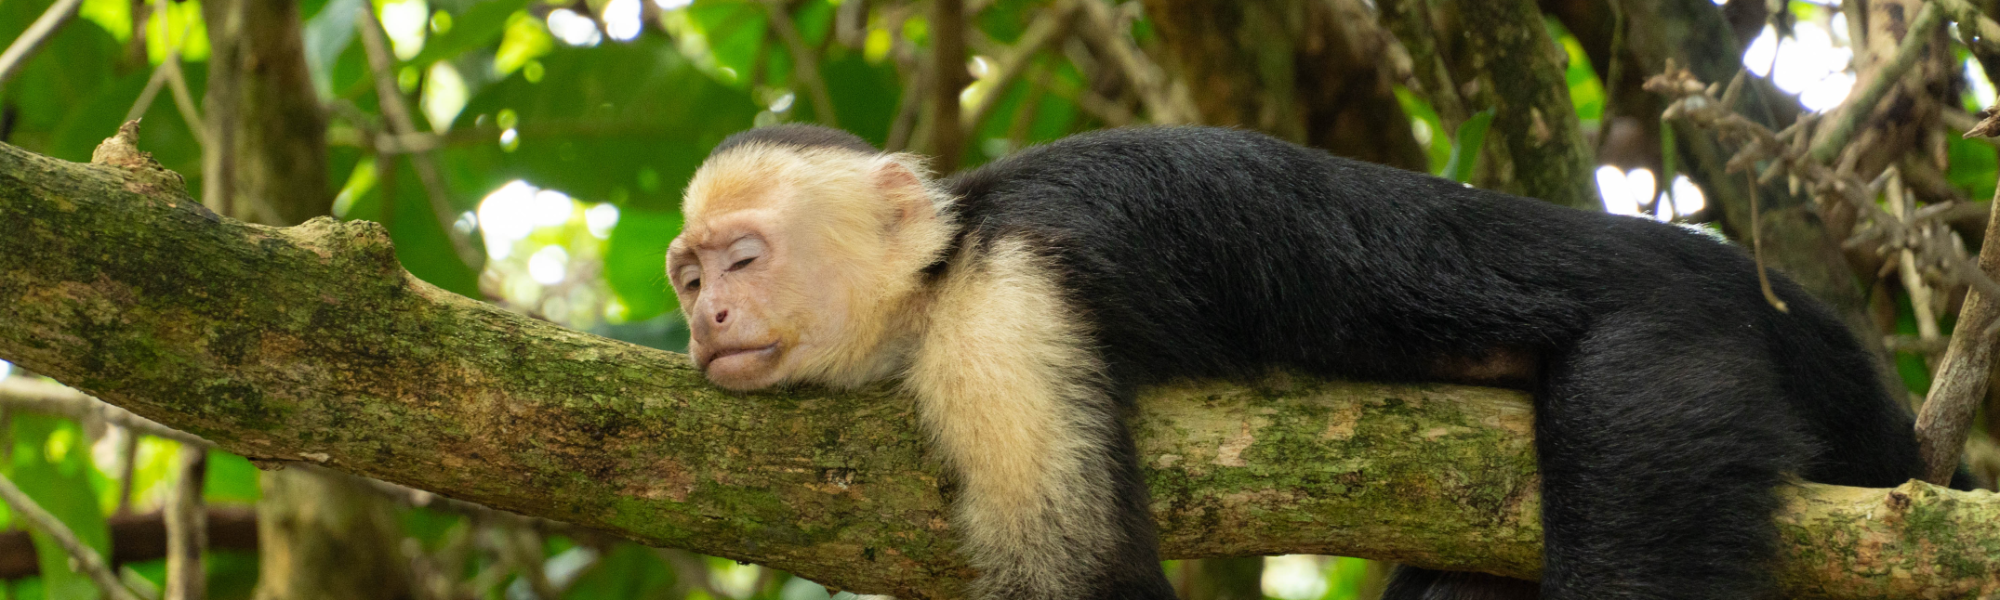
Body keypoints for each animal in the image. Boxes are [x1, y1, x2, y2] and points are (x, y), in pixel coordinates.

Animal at [668, 124, 1963, 600]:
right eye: (685, 279)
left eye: (744, 259)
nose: (706, 319)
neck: (942, 262)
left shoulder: (1001, 308)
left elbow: (1083, 579)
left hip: (1676, 344)